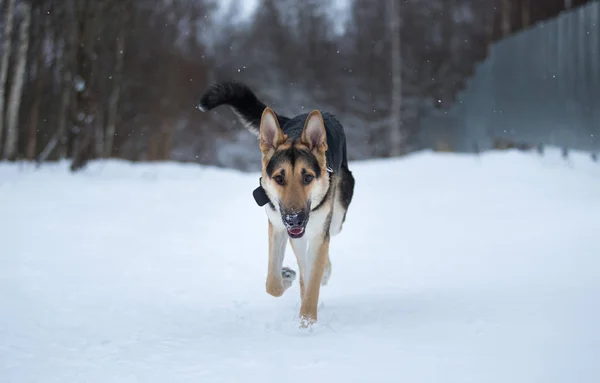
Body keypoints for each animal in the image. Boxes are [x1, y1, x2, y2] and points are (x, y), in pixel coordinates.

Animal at [197, 82, 356, 328]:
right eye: (280, 178)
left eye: (308, 178)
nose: (294, 219)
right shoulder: (278, 228)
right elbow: (272, 283)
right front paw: (287, 277)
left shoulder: (316, 232)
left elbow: (312, 284)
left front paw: (307, 325)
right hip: (297, 236)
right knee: (305, 265)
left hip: (336, 216)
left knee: (326, 245)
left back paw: (323, 273)